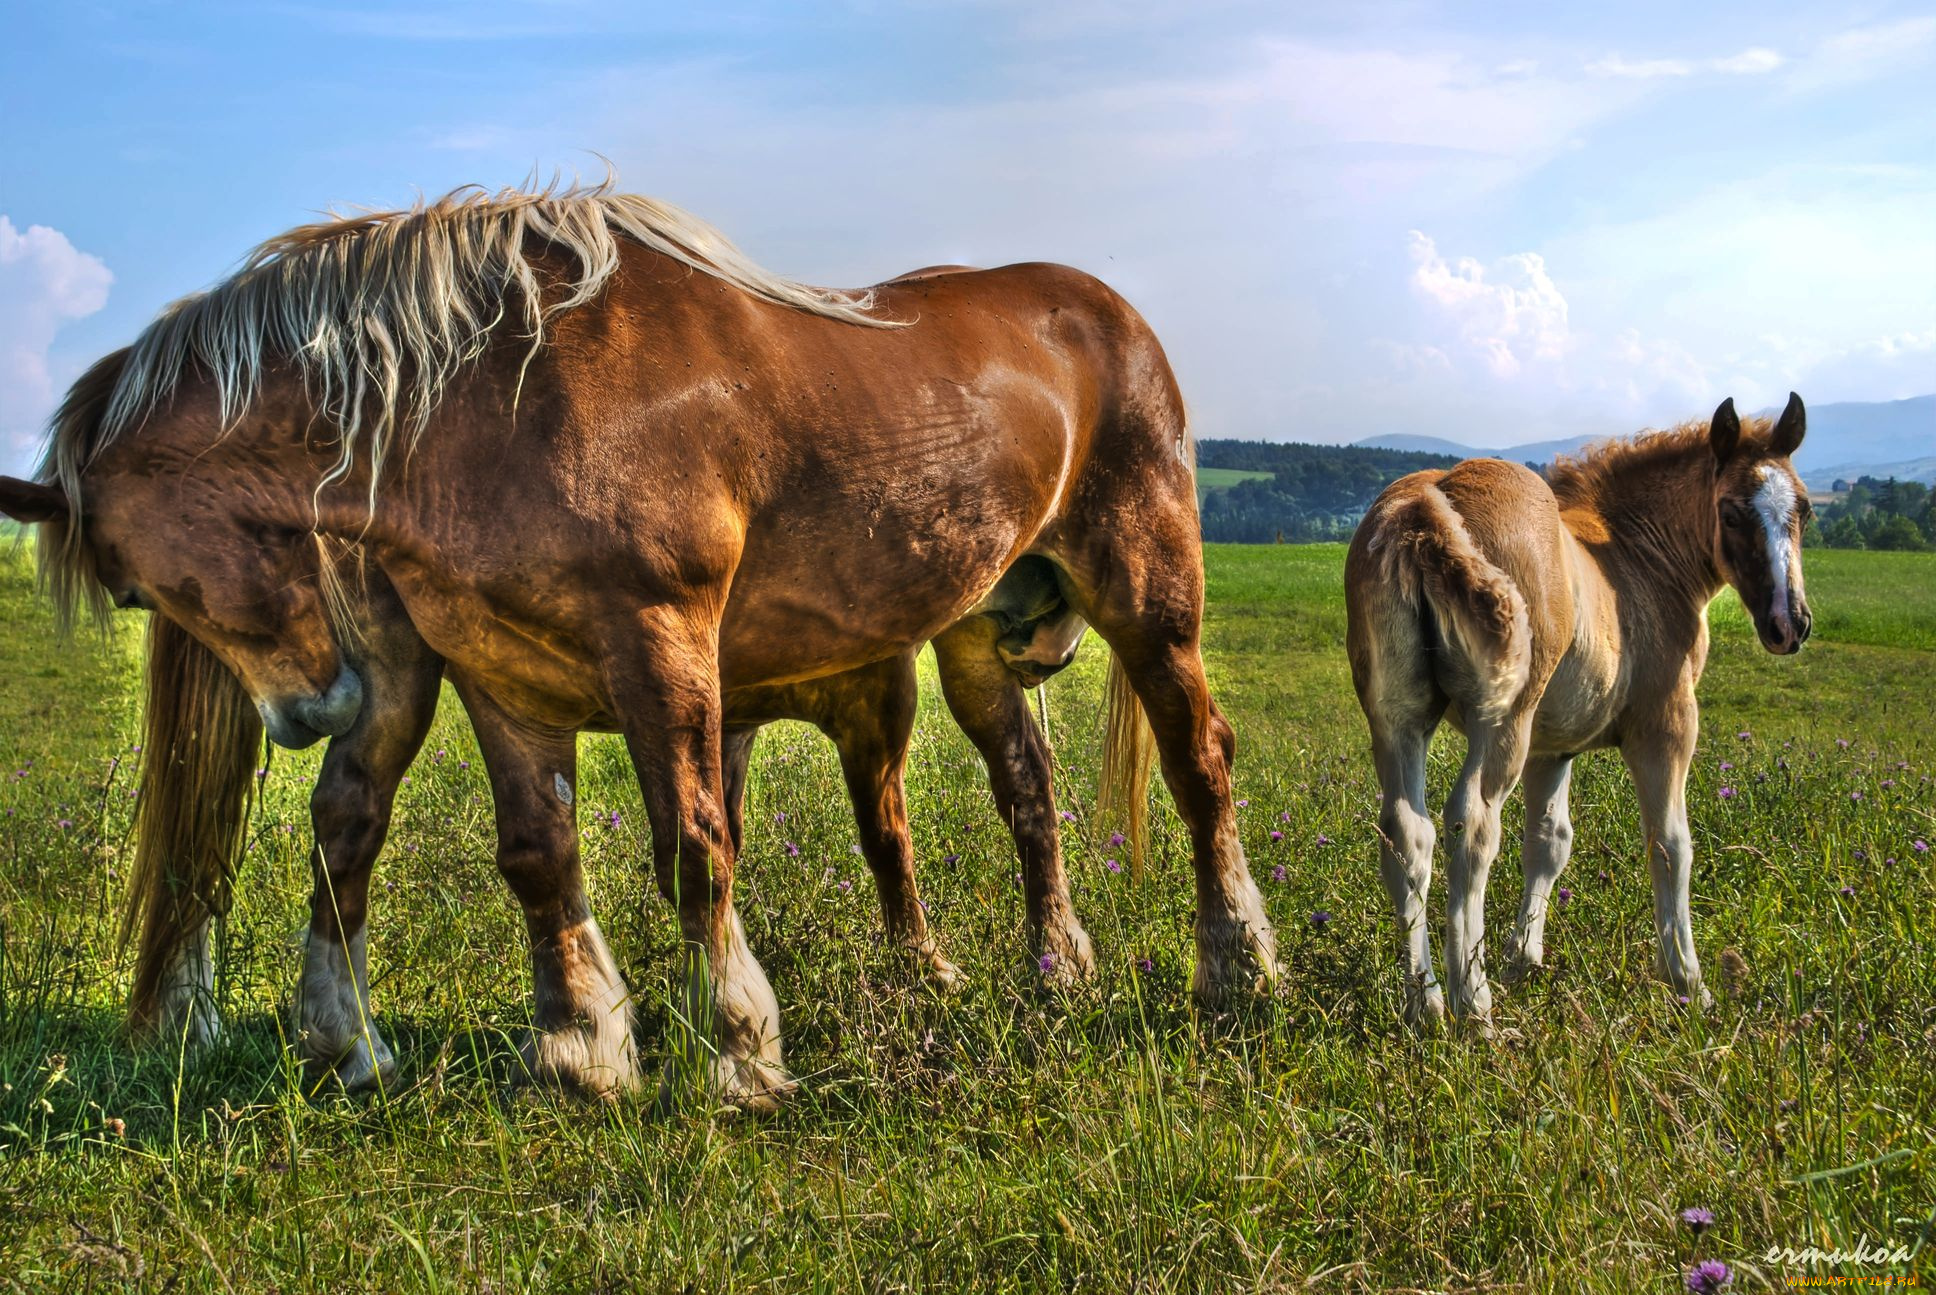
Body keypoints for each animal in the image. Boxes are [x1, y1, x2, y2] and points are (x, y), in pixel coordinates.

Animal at [0, 181, 1276, 1106]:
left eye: (127, 588)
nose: (312, 711)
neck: (494, 401)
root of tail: (1102, 312)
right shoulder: (498, 670)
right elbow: (536, 854)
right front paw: (579, 1051)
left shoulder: (661, 638)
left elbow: (697, 846)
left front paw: (741, 1052)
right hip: (974, 639)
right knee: (1023, 792)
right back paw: (1048, 966)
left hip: (1146, 592)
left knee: (1196, 759)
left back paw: (1237, 970)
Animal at [1344, 396, 1811, 1029]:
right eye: (1733, 513)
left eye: (1804, 510)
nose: (1790, 624)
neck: (1635, 556)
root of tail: (1426, 505)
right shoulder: (1666, 725)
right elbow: (1671, 843)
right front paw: (1688, 981)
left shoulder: (1553, 746)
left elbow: (1549, 842)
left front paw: (1523, 959)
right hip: (1503, 719)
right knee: (1473, 824)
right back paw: (1474, 1004)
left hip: (1397, 717)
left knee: (1406, 832)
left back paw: (1426, 1003)